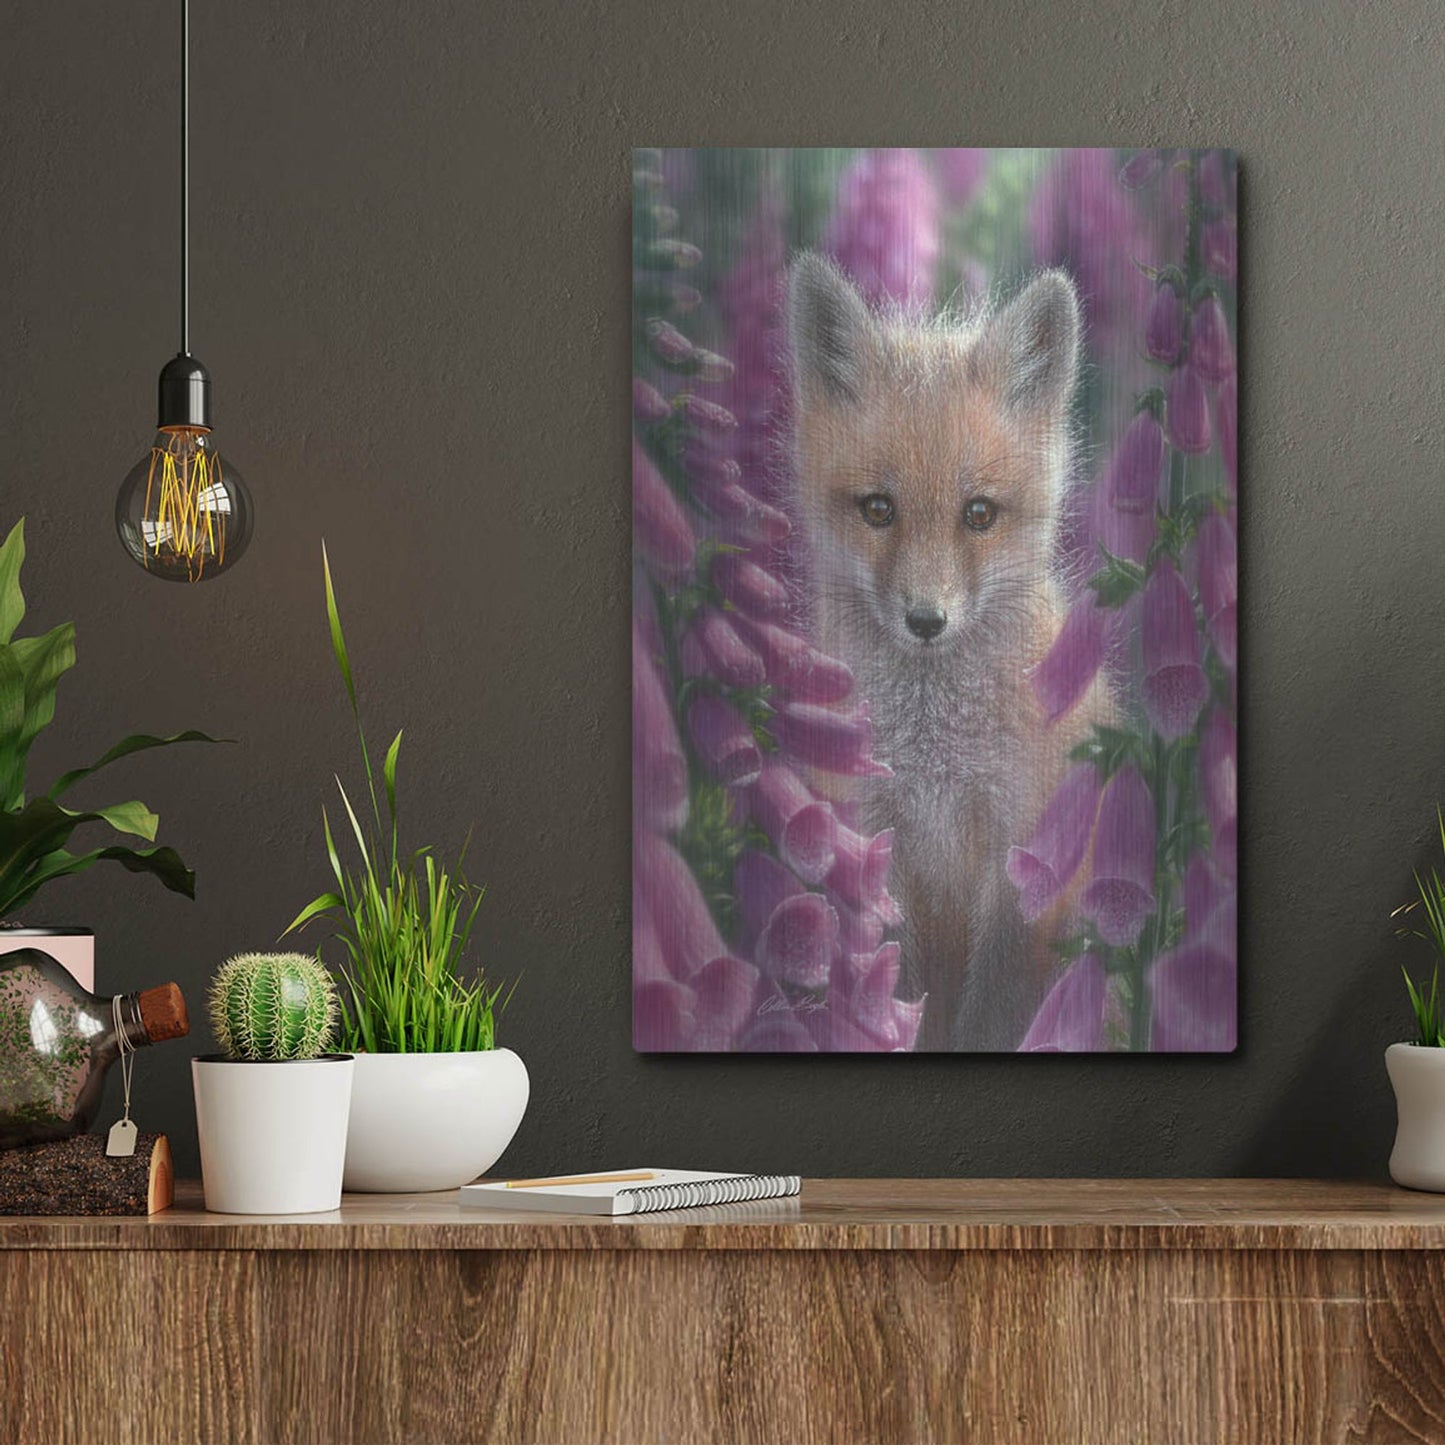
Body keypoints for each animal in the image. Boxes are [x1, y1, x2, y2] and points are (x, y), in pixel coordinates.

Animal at [787, 253, 1110, 1050]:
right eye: (878, 509)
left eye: (979, 514)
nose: (926, 620)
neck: (935, 765)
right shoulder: (872, 845)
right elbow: (893, 987)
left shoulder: (1025, 862)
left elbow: (995, 1011)